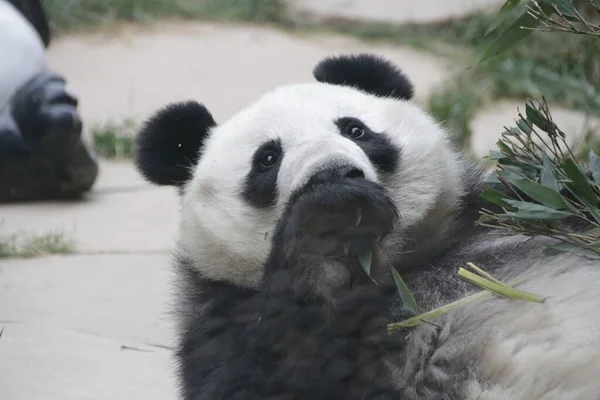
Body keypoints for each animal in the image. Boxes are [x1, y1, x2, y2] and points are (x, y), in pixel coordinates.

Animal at [134, 54, 600, 400]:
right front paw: (329, 218)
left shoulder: (491, 219)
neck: (388, 272)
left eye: (355, 129)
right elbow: (257, 377)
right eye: (267, 158)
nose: (333, 173)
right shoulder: (223, 316)